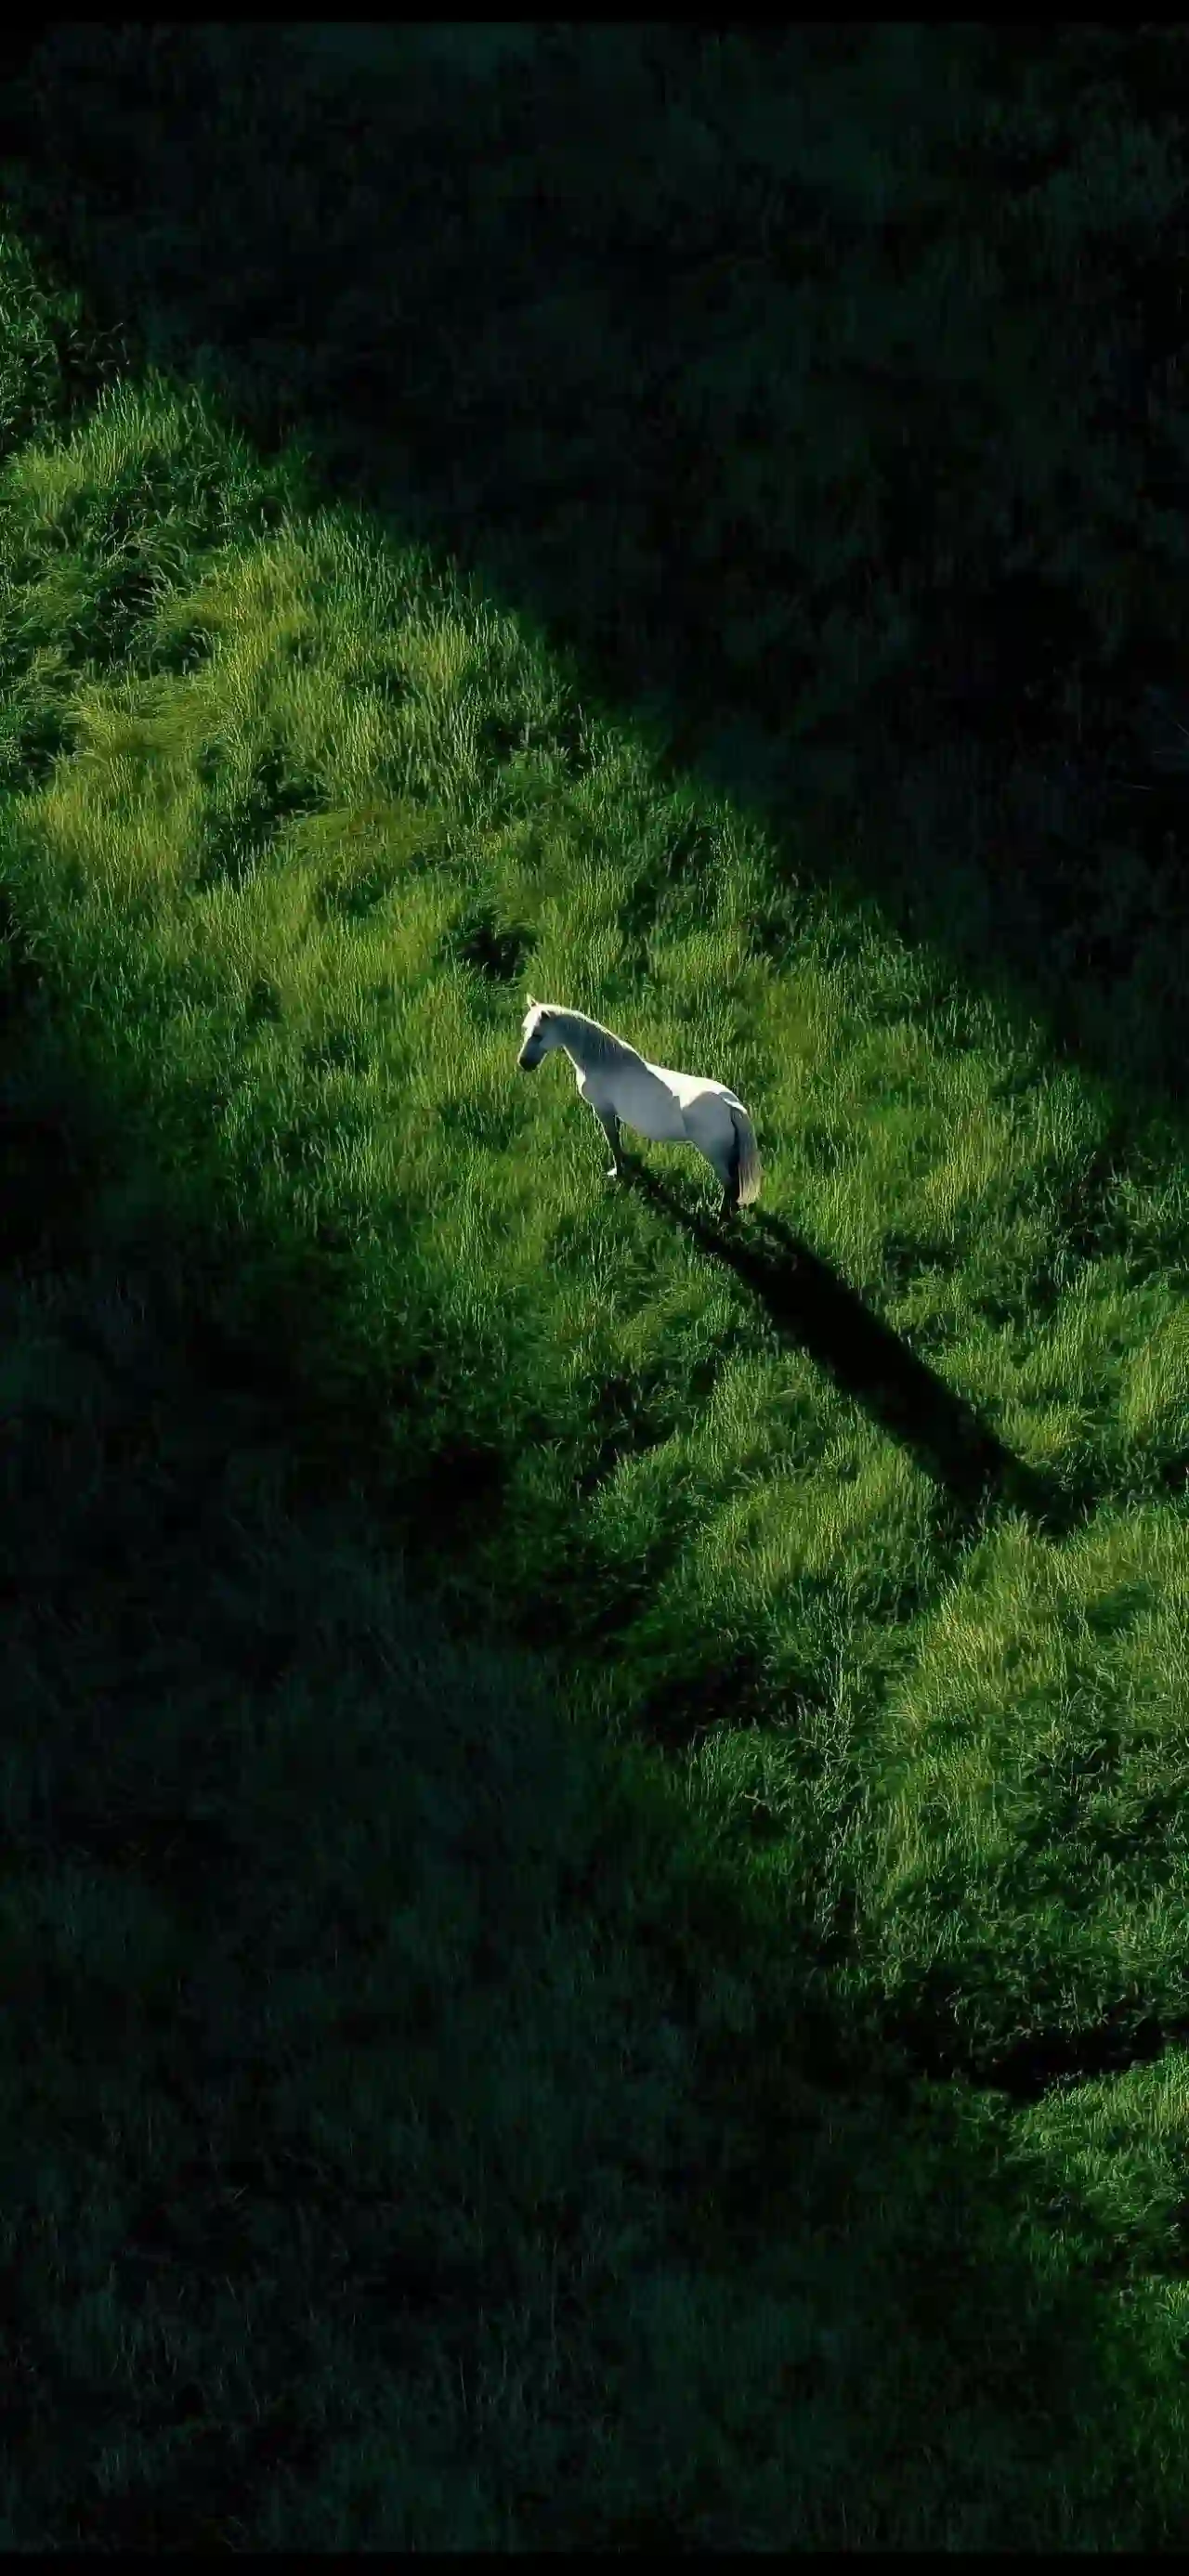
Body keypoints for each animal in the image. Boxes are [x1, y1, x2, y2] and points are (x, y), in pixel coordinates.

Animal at [516, 997, 762, 1220]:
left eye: (538, 1034)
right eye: (525, 1030)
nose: (523, 1064)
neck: (604, 1063)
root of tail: (730, 1105)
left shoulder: (603, 1110)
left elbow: (612, 1141)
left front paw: (618, 1173)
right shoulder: (613, 1113)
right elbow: (617, 1139)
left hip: (714, 1154)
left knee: (729, 1185)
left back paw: (719, 1217)